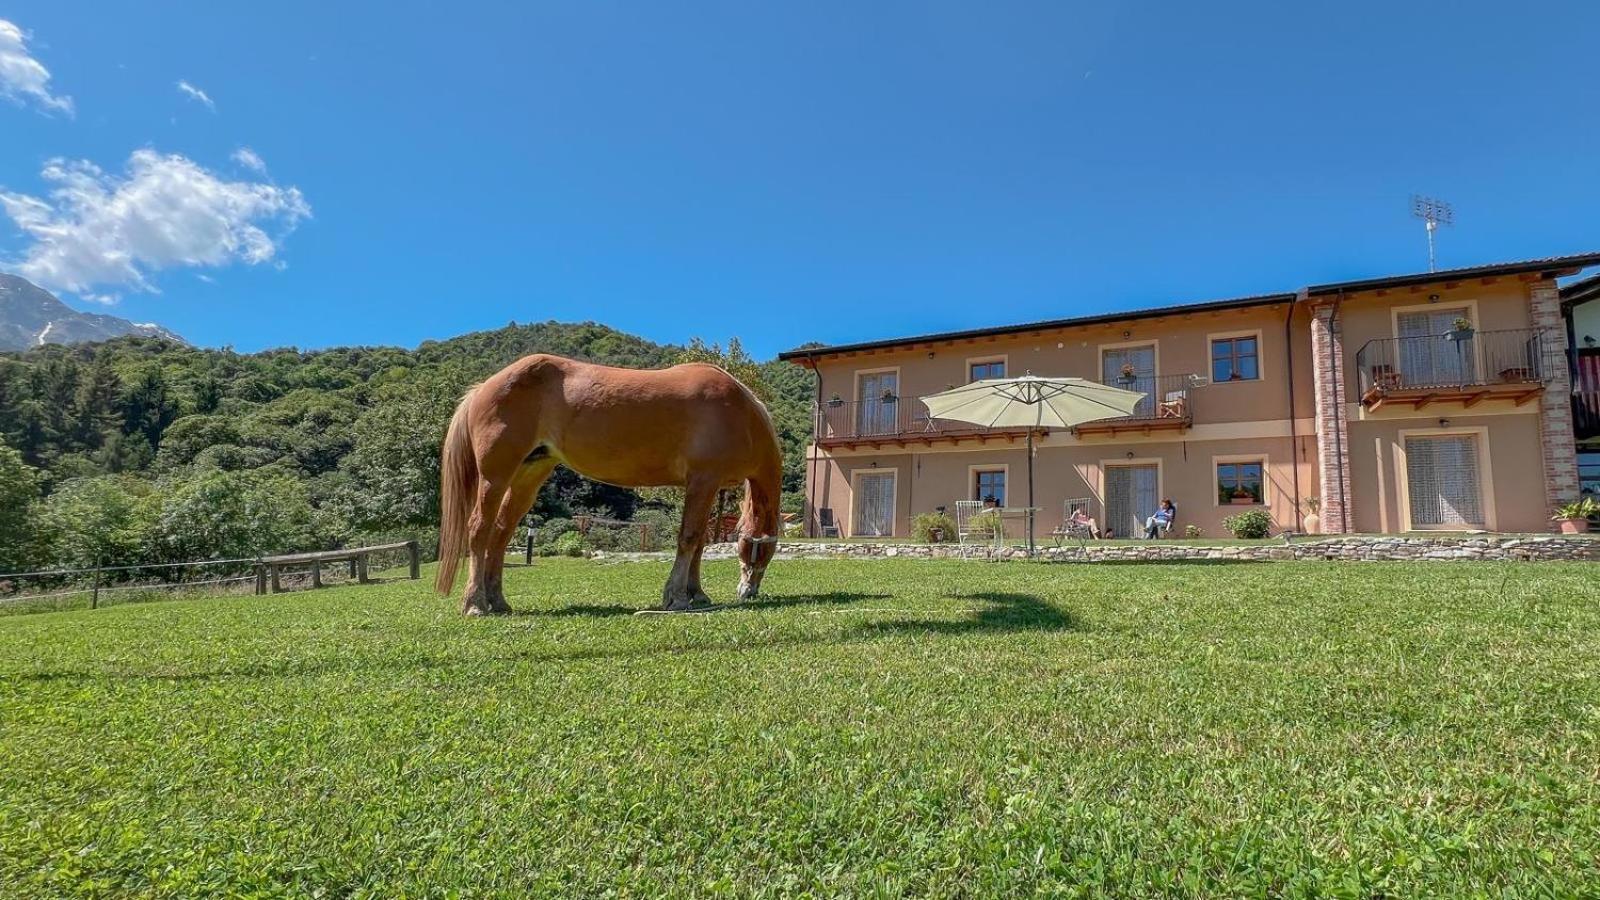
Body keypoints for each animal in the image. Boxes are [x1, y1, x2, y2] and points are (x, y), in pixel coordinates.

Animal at [432, 353, 780, 611]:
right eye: (759, 550)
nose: (748, 591)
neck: (738, 411)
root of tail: (484, 387)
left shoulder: (707, 486)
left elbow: (700, 544)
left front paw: (697, 594)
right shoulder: (702, 481)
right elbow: (689, 538)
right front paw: (677, 597)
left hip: (528, 475)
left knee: (501, 533)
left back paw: (498, 602)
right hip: (495, 477)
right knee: (479, 530)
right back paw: (475, 604)